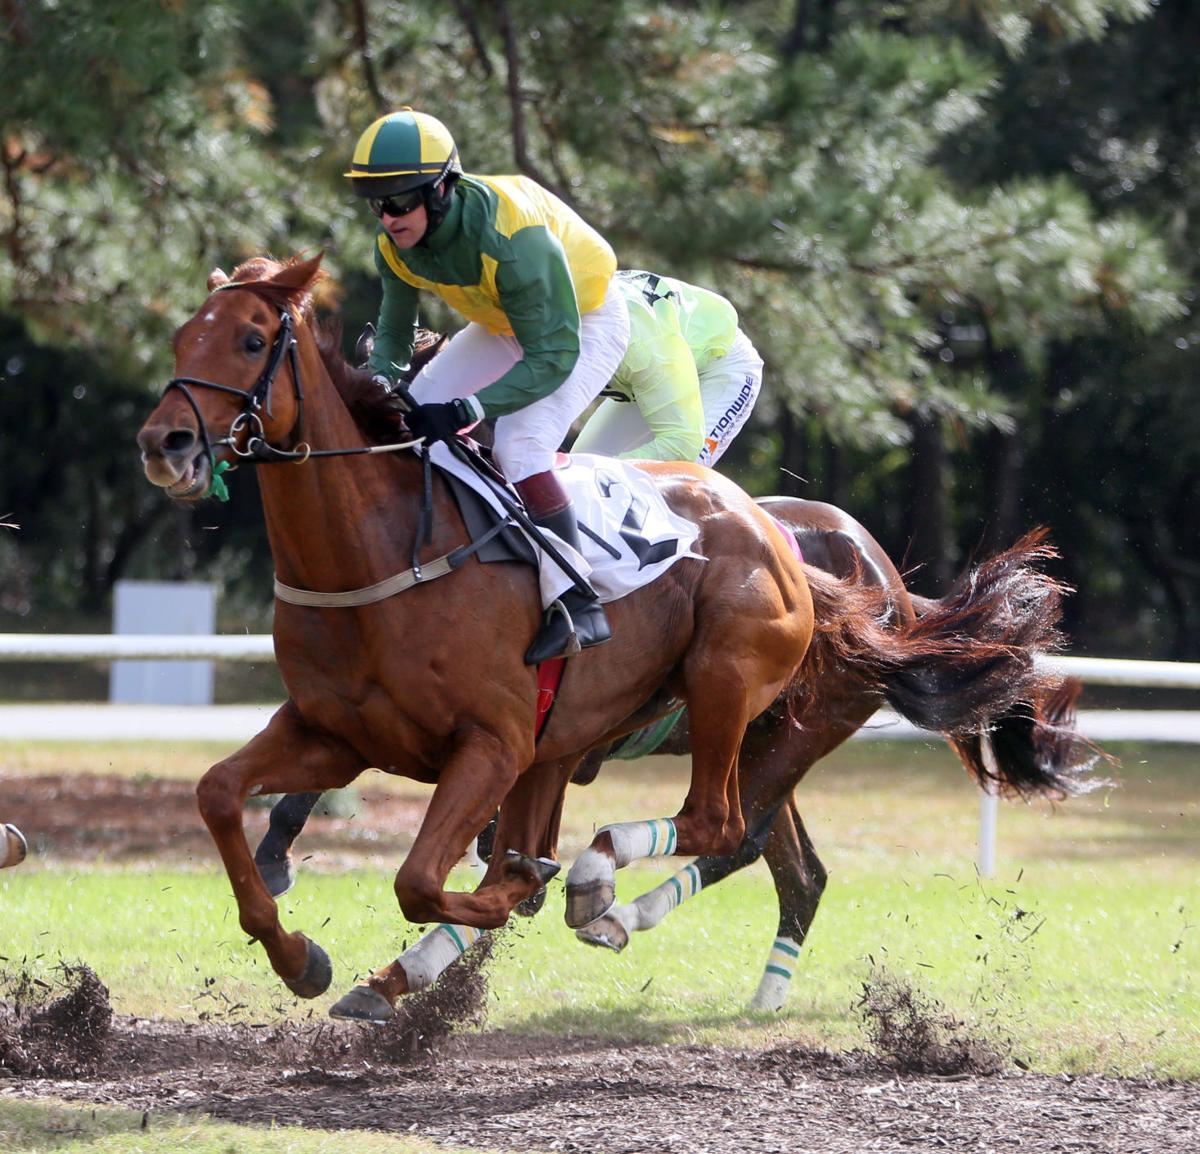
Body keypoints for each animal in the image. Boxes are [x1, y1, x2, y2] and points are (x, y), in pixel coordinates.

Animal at [137, 253, 1077, 1022]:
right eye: (184, 334)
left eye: (253, 339)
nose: (165, 443)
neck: (389, 549)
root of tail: (861, 576)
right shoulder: (341, 731)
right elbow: (221, 794)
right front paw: (299, 948)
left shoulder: (498, 744)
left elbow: (436, 877)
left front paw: (522, 889)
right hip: (753, 734)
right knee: (790, 865)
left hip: (746, 702)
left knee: (723, 827)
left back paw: (607, 894)